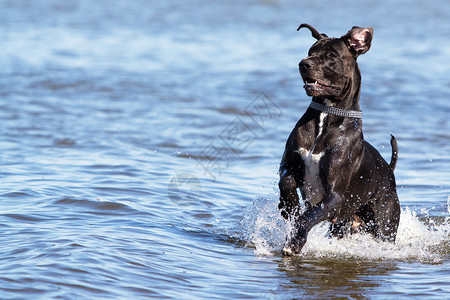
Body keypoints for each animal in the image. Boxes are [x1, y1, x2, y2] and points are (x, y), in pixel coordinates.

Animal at [278, 24, 400, 255]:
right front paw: (288, 206)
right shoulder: (288, 164)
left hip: (385, 223)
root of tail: (389, 171)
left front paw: (295, 241)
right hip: (342, 226)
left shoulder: (333, 197)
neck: (326, 113)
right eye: (310, 51)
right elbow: (286, 181)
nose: (303, 63)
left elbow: (308, 216)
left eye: (331, 55)